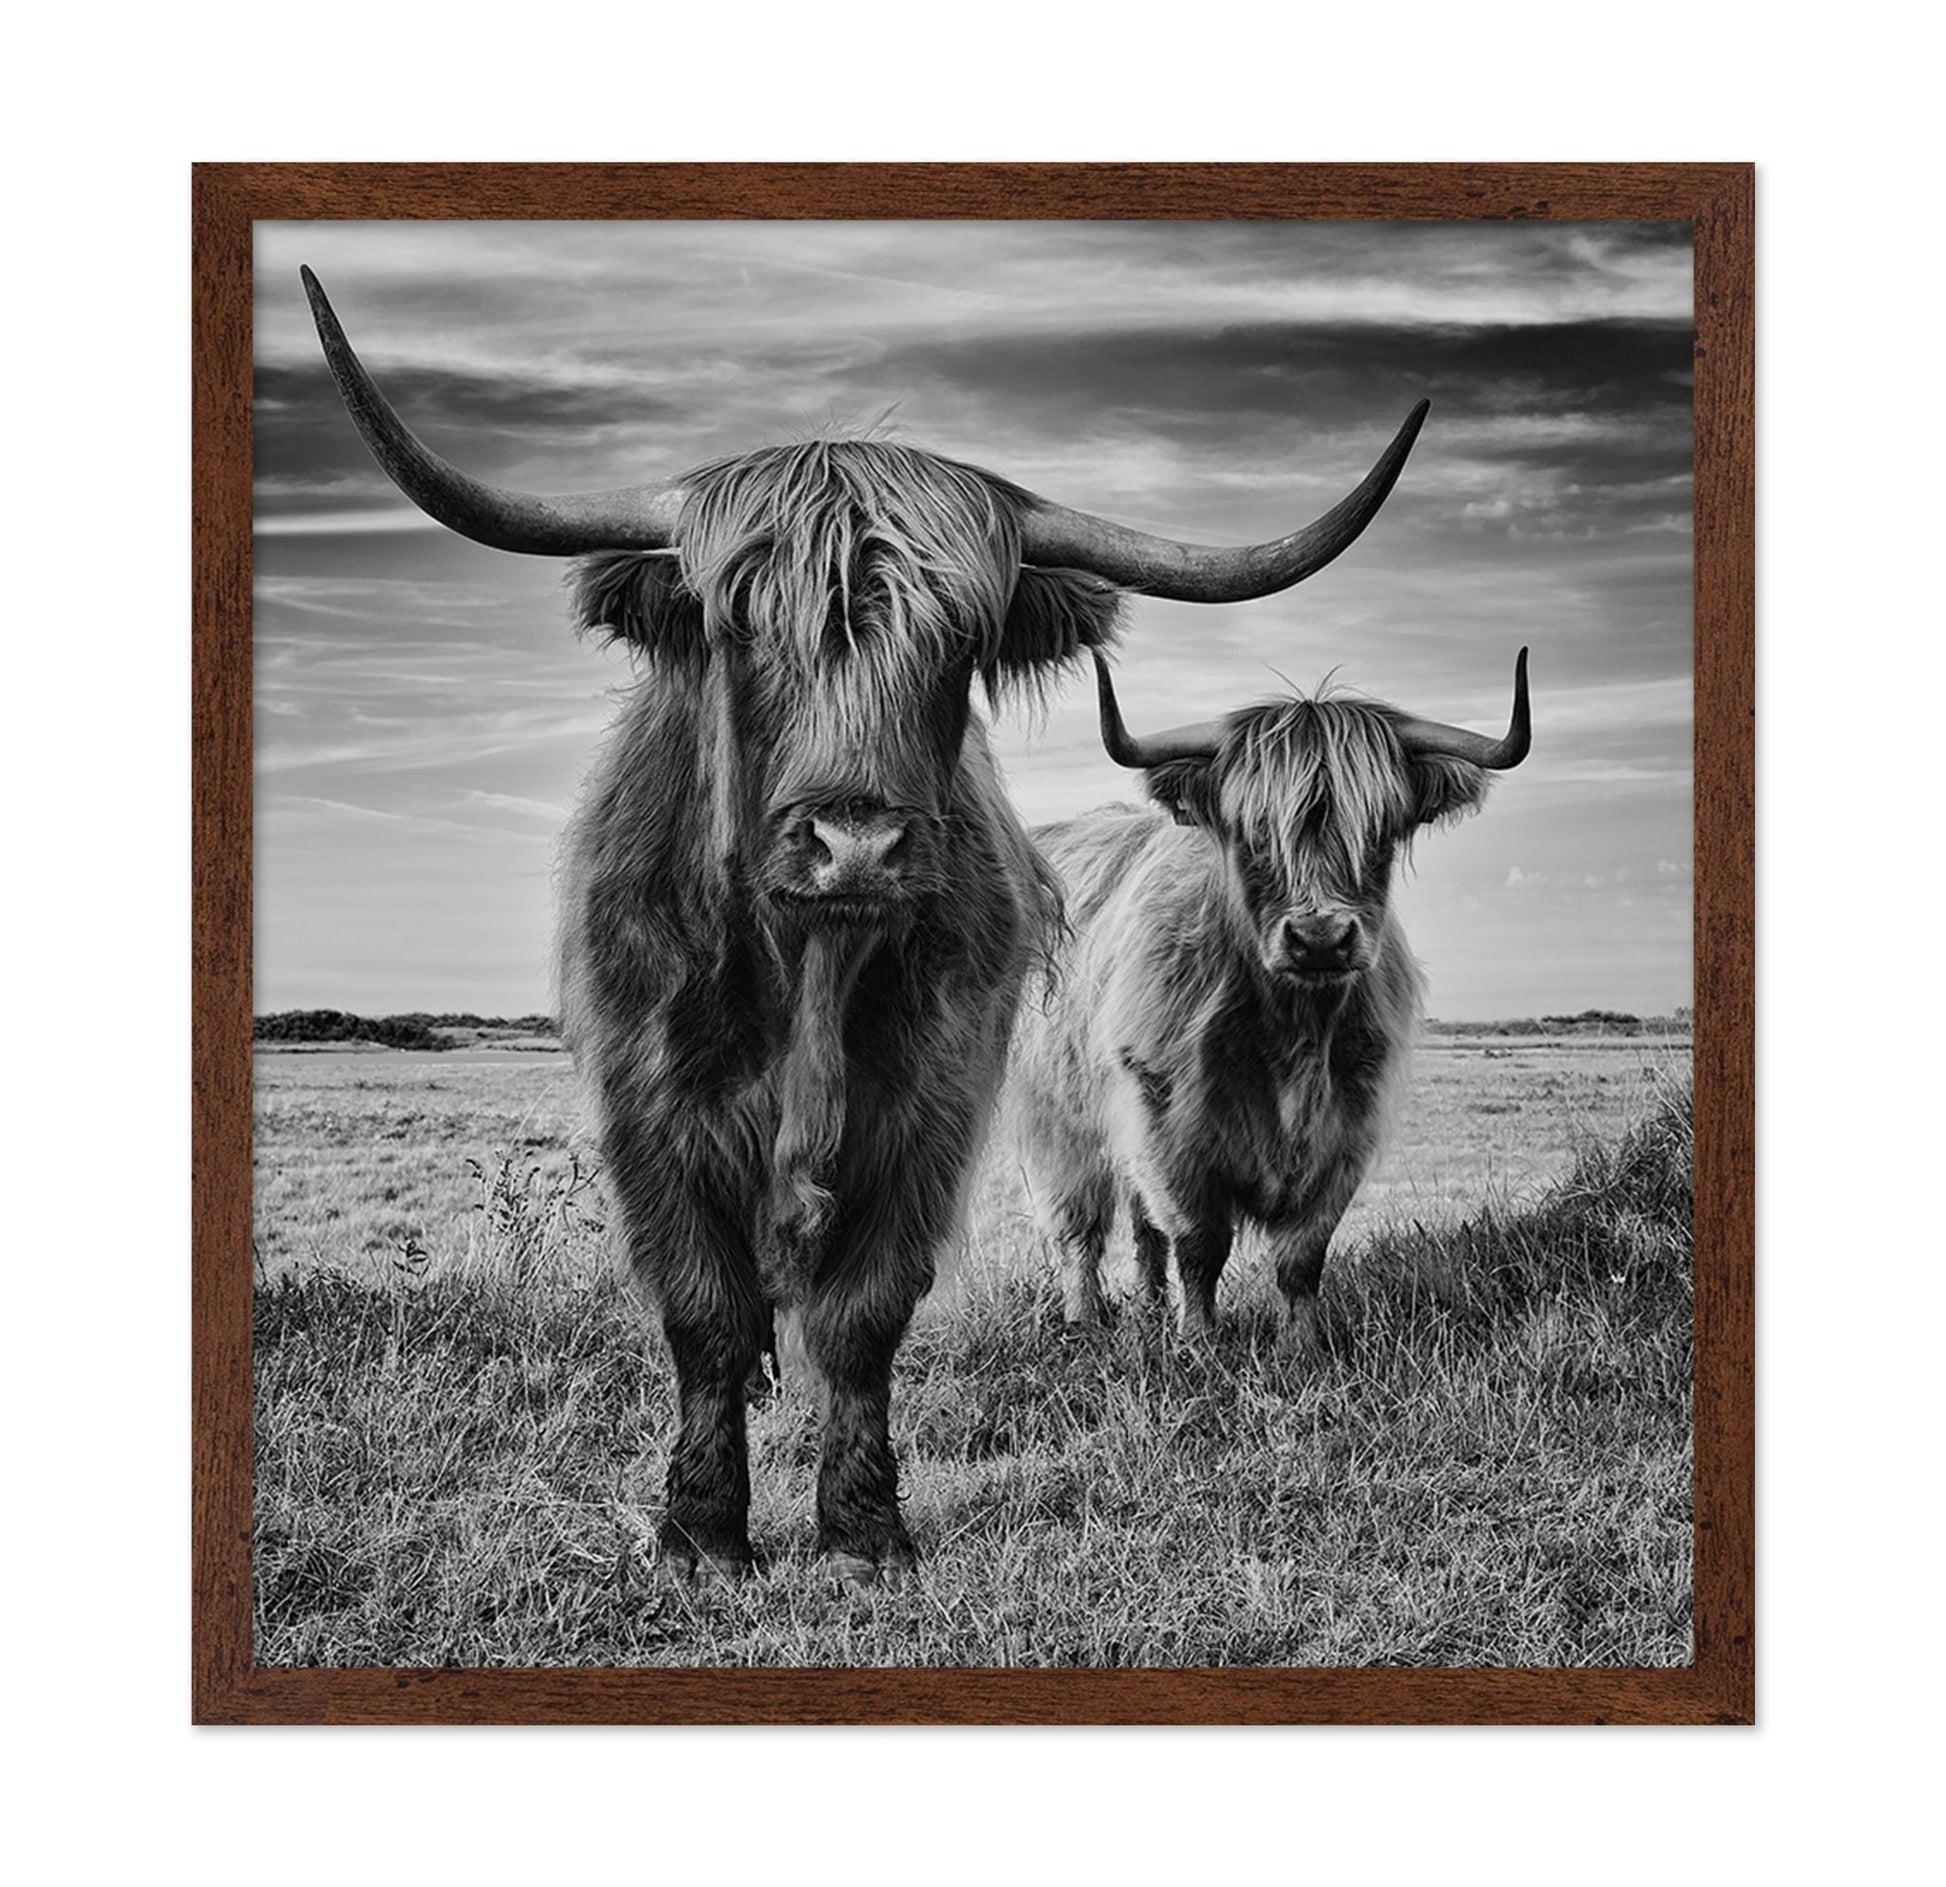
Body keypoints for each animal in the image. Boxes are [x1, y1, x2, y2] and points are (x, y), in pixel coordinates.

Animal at [300, 266, 1429, 1580]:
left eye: (958, 641)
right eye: (741, 627)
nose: (854, 844)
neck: (809, 972)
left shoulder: (931, 1107)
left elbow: (864, 1314)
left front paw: (862, 1530)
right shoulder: (648, 1111)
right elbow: (705, 1311)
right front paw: (700, 1535)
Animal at [1008, 649, 1530, 1356]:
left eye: (1381, 832)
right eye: (1253, 834)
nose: (1320, 938)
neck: (1293, 1032)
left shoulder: (1346, 1129)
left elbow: (1301, 1254)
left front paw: (1300, 1347)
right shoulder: (1168, 1126)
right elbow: (1199, 1243)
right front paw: (1200, 1342)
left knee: (1142, 1228)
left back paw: (1149, 1309)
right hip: (1059, 1118)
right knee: (1080, 1225)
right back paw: (1086, 1318)